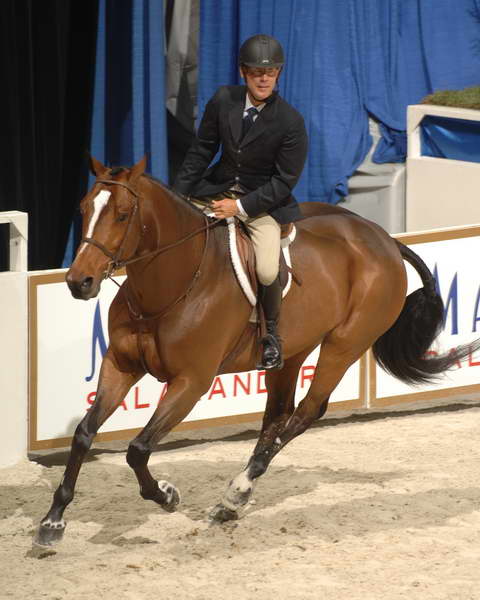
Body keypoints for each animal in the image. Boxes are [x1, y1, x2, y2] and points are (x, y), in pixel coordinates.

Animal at [33, 157, 476, 548]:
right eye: (84, 208)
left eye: (123, 214)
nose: (78, 281)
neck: (170, 283)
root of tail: (383, 239)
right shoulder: (120, 366)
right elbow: (83, 434)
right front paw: (53, 522)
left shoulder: (191, 382)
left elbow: (138, 448)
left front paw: (166, 495)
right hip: (293, 350)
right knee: (277, 416)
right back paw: (237, 496)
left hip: (344, 345)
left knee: (305, 413)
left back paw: (236, 493)